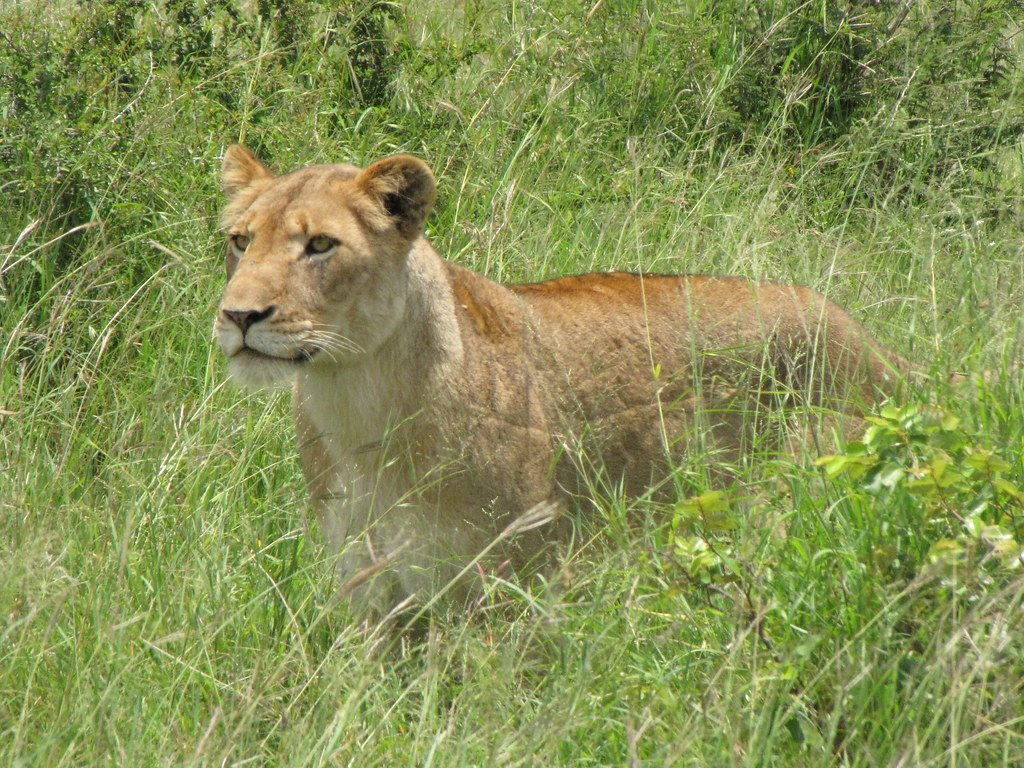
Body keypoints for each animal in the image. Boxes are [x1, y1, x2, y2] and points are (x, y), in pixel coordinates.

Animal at [215, 145, 912, 615]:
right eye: (240, 241)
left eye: (320, 246)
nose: (239, 315)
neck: (356, 401)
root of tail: (873, 344)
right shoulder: (368, 587)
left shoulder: (515, 582)